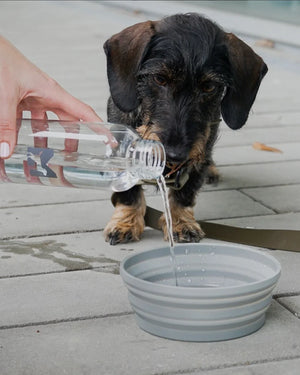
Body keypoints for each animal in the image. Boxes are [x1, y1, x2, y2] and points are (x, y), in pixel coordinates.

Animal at [103, 12, 268, 247]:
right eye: (159, 78)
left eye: (209, 87)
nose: (175, 154)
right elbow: (128, 191)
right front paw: (126, 222)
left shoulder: (198, 152)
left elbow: (186, 192)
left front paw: (180, 222)